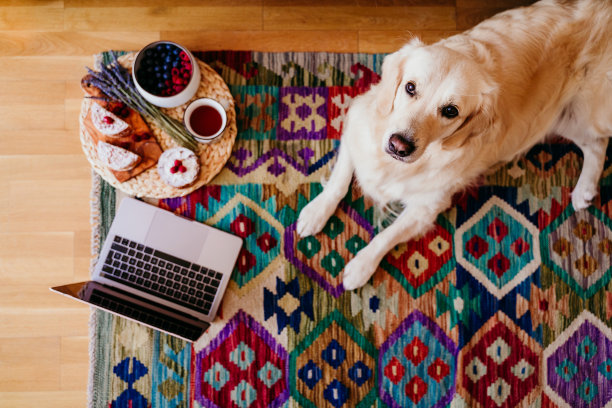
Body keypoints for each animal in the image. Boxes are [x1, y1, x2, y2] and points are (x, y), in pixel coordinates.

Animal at [296, 0, 612, 292]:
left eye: (450, 111)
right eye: (410, 87)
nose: (399, 145)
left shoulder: (427, 207)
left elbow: (387, 236)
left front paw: (361, 266)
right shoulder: (357, 124)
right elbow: (339, 181)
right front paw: (315, 212)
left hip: (582, 112)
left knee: (600, 142)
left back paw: (584, 188)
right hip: (564, 118)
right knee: (595, 144)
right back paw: (583, 191)